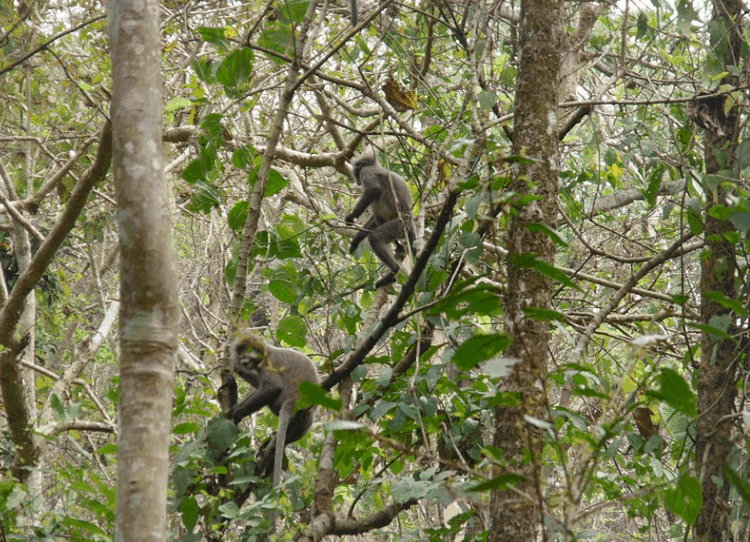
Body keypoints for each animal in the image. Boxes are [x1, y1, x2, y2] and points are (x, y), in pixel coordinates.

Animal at [226, 336, 320, 488]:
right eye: (241, 356)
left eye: (246, 354)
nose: (243, 361)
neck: (266, 353)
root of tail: (295, 402)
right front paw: (238, 372)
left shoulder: (268, 364)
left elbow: (273, 387)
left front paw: (237, 412)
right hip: (305, 419)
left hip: (282, 399)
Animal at [346, 153, 418, 288]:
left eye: (357, 172)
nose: (356, 180)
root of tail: (410, 222)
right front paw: (356, 240)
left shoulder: (366, 171)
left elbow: (374, 189)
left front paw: (351, 217)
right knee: (377, 217)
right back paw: (398, 247)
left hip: (399, 226)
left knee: (375, 237)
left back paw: (394, 269)